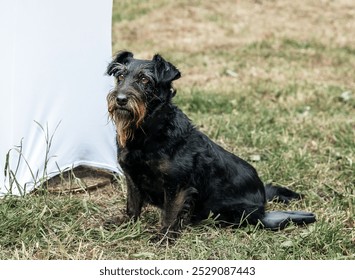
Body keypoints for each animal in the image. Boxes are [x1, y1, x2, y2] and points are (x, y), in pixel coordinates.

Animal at [105, 51, 318, 240]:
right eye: (120, 76)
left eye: (145, 80)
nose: (121, 99)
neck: (148, 131)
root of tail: (263, 195)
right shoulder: (132, 177)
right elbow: (132, 205)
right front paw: (127, 226)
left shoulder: (177, 186)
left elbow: (170, 213)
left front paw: (164, 237)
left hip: (235, 212)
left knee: (261, 219)